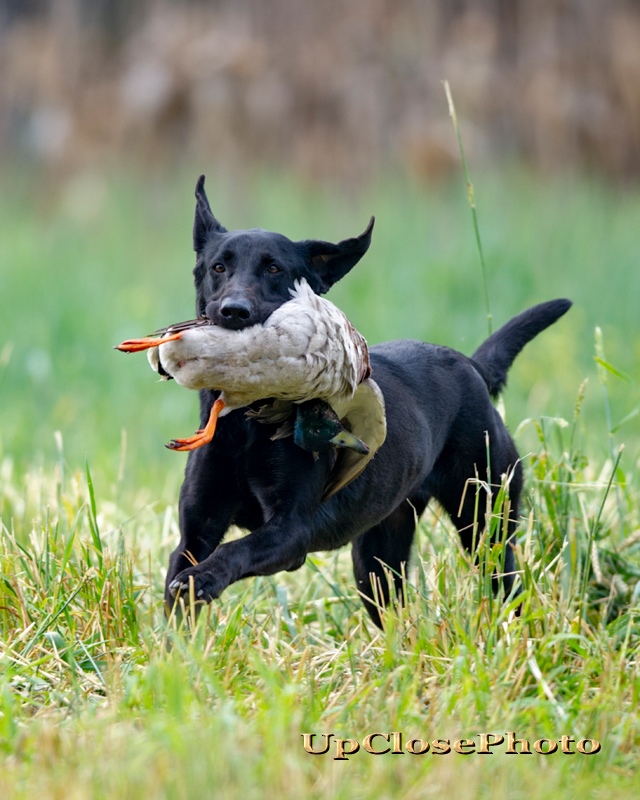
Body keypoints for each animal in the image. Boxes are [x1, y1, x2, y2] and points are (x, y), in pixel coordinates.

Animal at [164, 175, 568, 624]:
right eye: (218, 267)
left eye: (274, 268)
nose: (234, 311)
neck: (245, 427)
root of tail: (472, 367)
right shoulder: (195, 531)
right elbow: (180, 588)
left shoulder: (290, 532)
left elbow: (235, 550)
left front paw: (204, 578)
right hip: (377, 560)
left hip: (486, 524)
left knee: (508, 588)